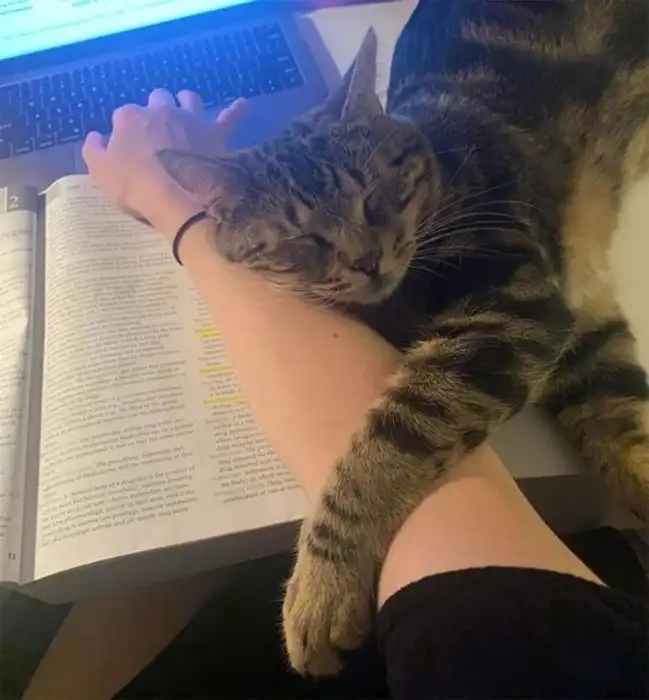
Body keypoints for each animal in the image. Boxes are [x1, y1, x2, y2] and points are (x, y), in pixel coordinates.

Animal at [158, 0, 649, 677]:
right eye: (303, 240)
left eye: (373, 197)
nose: (365, 261)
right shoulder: (578, 332)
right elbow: (621, 430)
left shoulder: (511, 310)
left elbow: (388, 438)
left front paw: (321, 584)